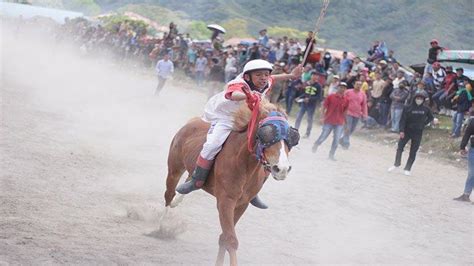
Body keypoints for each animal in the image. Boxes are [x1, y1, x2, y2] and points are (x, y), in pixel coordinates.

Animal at [163, 100, 300, 266]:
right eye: (266, 133)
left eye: (292, 137)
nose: (282, 168)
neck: (244, 164)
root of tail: (192, 122)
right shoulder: (225, 201)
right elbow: (231, 240)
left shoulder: (242, 203)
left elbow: (224, 238)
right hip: (174, 168)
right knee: (169, 194)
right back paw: (161, 226)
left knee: (191, 178)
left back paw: (184, 191)